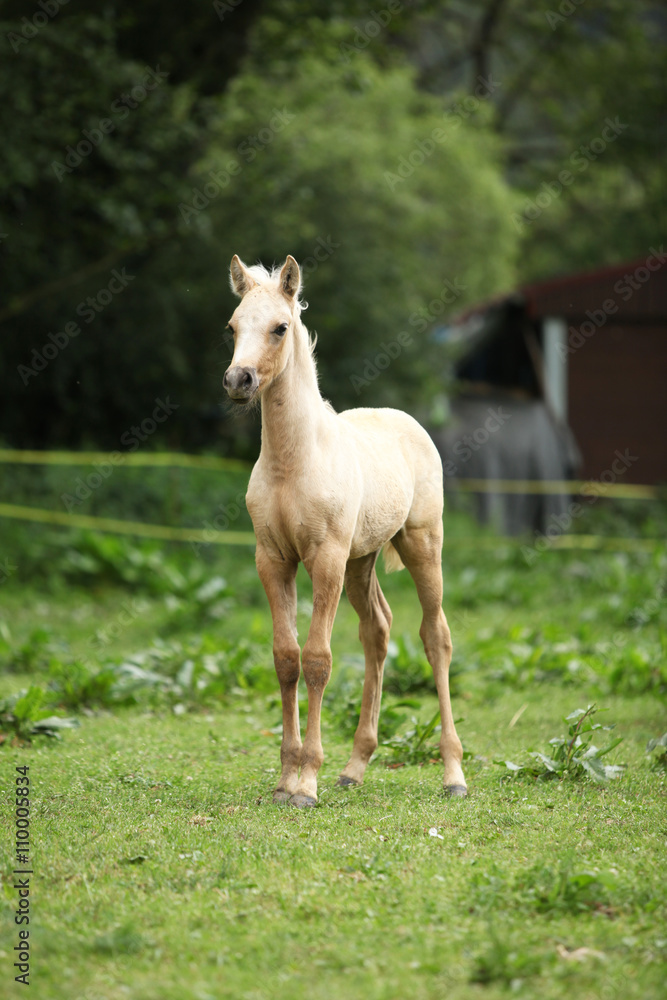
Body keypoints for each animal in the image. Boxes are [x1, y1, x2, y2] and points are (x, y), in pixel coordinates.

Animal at [223, 254, 467, 807]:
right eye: (232, 326)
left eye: (280, 327)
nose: (238, 380)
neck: (292, 464)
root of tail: (406, 420)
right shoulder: (273, 559)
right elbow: (286, 659)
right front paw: (285, 778)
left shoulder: (326, 559)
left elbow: (317, 660)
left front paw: (307, 783)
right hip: (362, 561)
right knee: (377, 630)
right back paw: (355, 766)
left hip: (421, 544)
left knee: (435, 636)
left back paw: (453, 773)